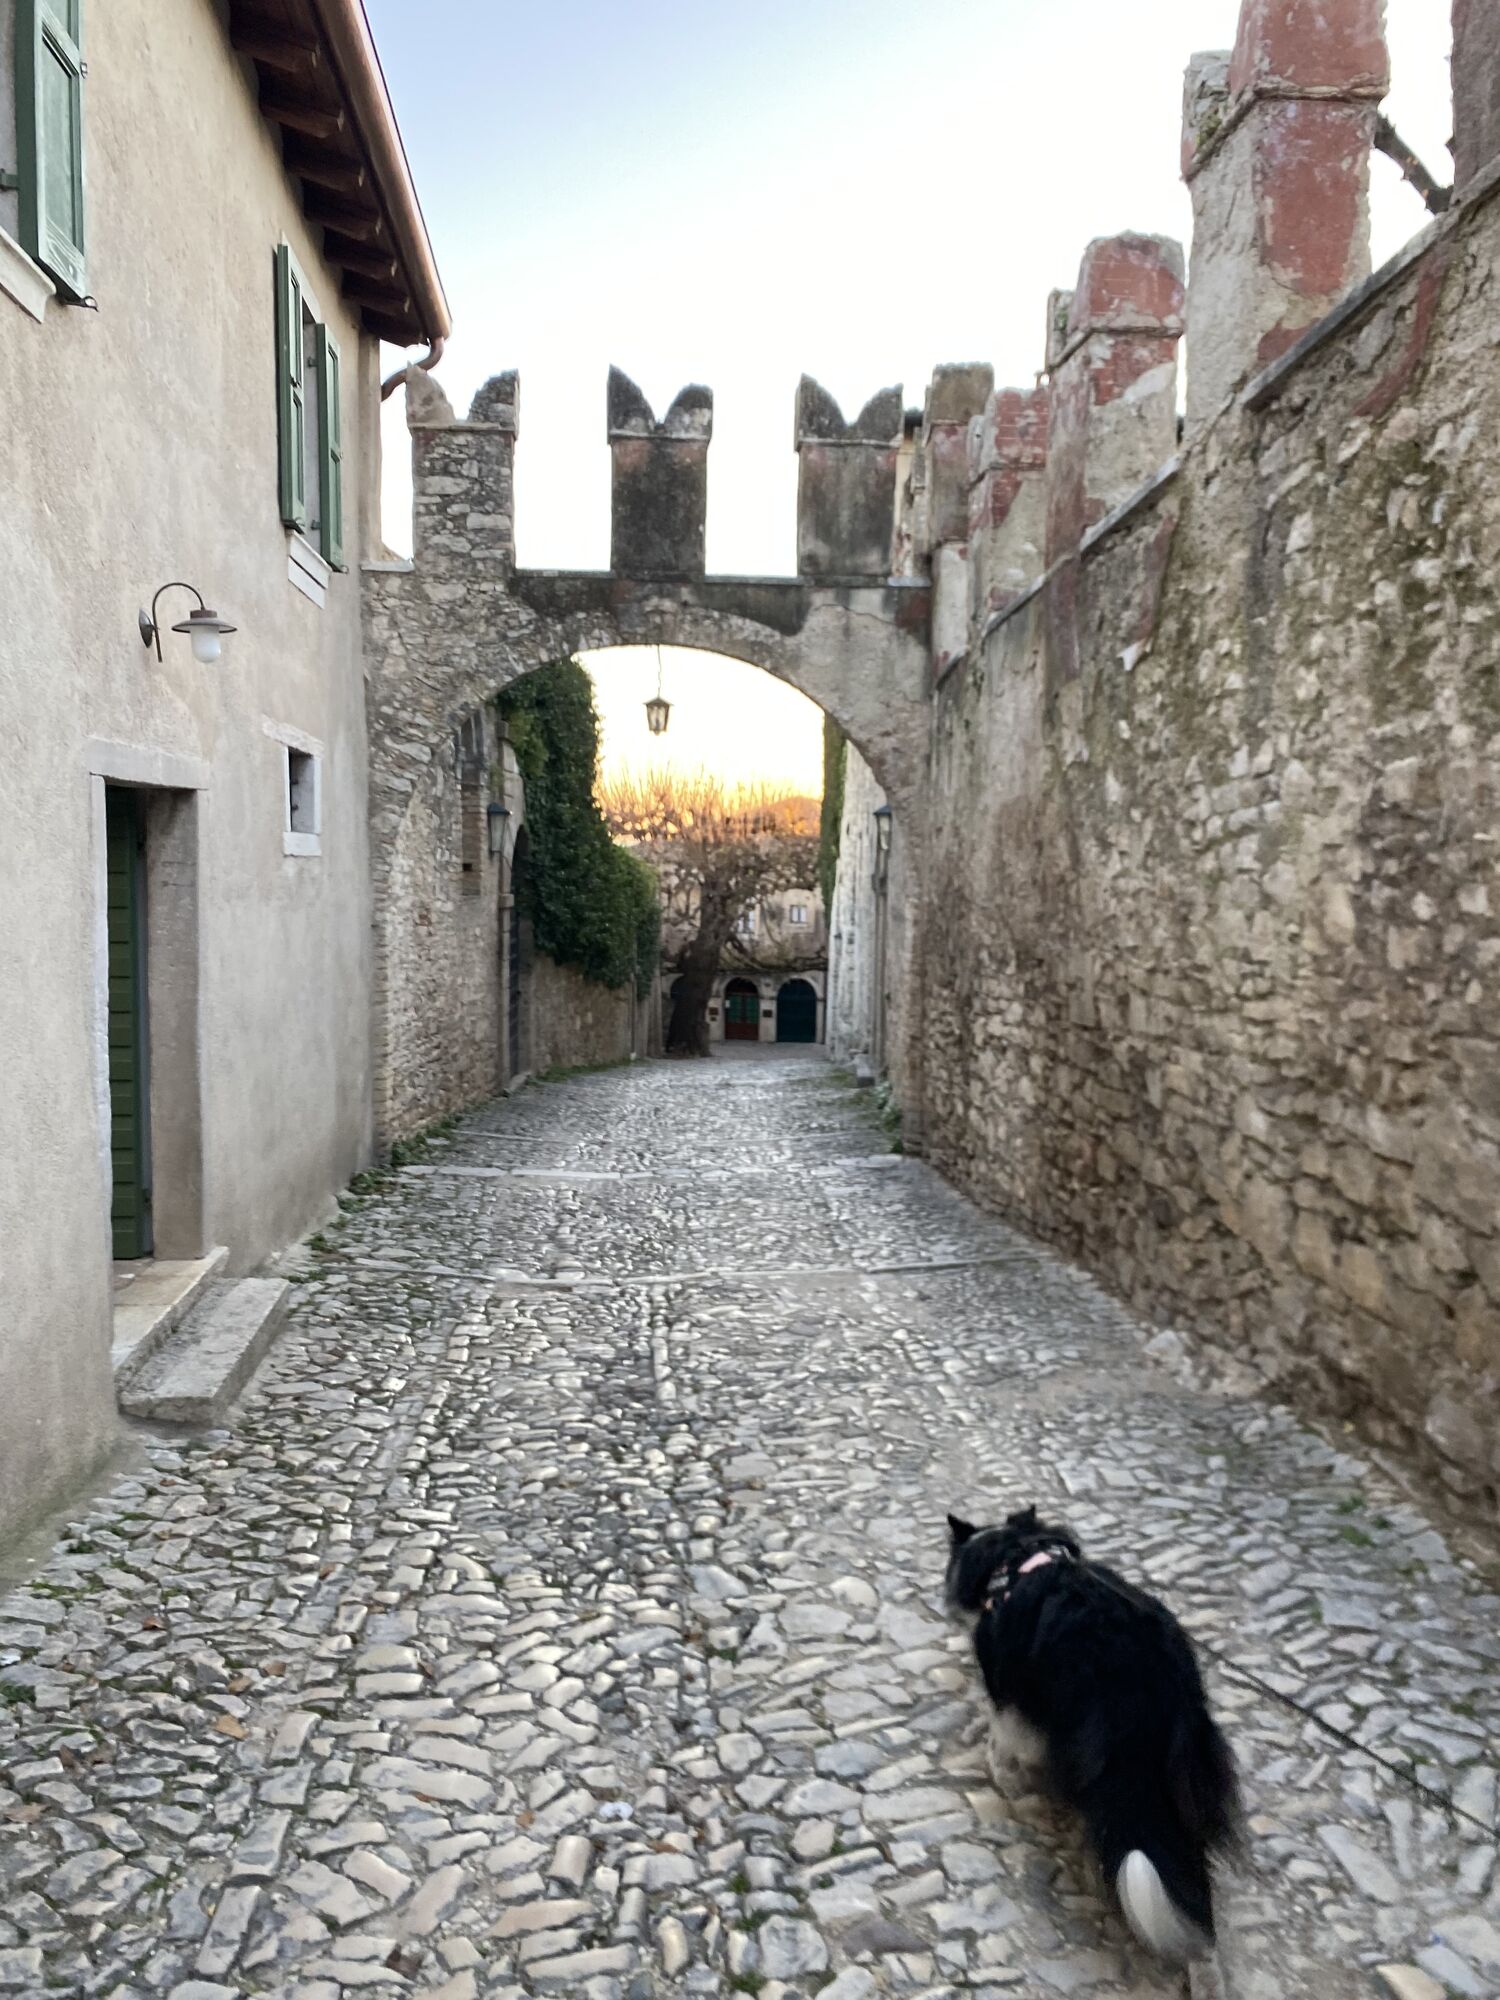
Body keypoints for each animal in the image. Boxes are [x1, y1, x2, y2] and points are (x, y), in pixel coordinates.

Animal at [946, 1505, 1240, 1962]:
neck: (1015, 1558)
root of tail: (1156, 1681)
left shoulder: (1007, 1682)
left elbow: (1004, 1732)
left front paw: (1000, 1769)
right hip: (1189, 1761)